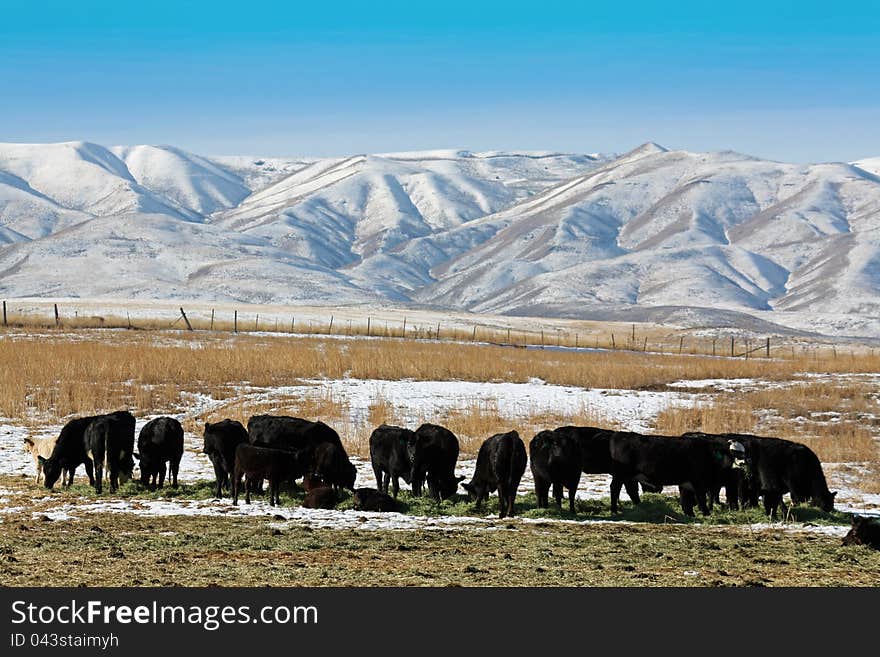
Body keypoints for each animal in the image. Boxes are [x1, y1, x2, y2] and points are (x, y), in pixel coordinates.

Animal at [608, 434, 740, 516]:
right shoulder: (698, 483)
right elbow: (701, 499)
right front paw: (706, 514)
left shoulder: (686, 484)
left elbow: (686, 501)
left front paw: (690, 514)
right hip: (620, 475)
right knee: (615, 489)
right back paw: (614, 510)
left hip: (627, 477)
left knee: (630, 490)